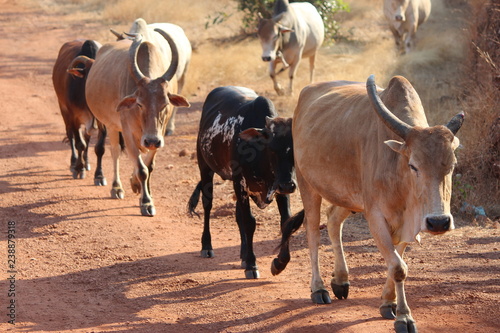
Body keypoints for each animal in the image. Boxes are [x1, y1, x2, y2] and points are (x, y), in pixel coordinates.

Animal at [51, 39, 106, 184]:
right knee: (71, 136)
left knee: (86, 138)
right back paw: (74, 162)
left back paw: (86, 163)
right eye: (89, 74)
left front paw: (99, 176)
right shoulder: (74, 117)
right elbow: (79, 144)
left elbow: (99, 147)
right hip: (64, 111)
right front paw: (78, 169)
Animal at [72, 31, 191, 217]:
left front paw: (138, 186)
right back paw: (116, 187)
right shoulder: (128, 132)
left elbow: (148, 167)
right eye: (139, 103)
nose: (151, 140)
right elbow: (141, 169)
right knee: (114, 152)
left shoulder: (159, 134)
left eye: (165, 104)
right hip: (111, 126)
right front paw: (146, 202)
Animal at [188, 85, 296, 278]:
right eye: (272, 148)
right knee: (207, 205)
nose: (288, 185)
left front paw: (280, 262)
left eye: (295, 149)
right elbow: (249, 222)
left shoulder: (279, 189)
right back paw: (207, 246)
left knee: (238, 214)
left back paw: (244, 254)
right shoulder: (241, 183)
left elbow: (286, 222)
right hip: (205, 168)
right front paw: (252, 265)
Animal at [272, 75, 462, 332]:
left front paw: (388, 303)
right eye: (413, 165)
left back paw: (341, 280)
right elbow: (398, 268)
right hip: (307, 184)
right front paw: (404, 317)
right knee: (312, 232)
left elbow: (397, 262)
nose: (439, 222)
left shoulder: (406, 224)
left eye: (452, 165)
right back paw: (319, 288)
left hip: (348, 196)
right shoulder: (375, 217)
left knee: (333, 221)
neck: (397, 167)